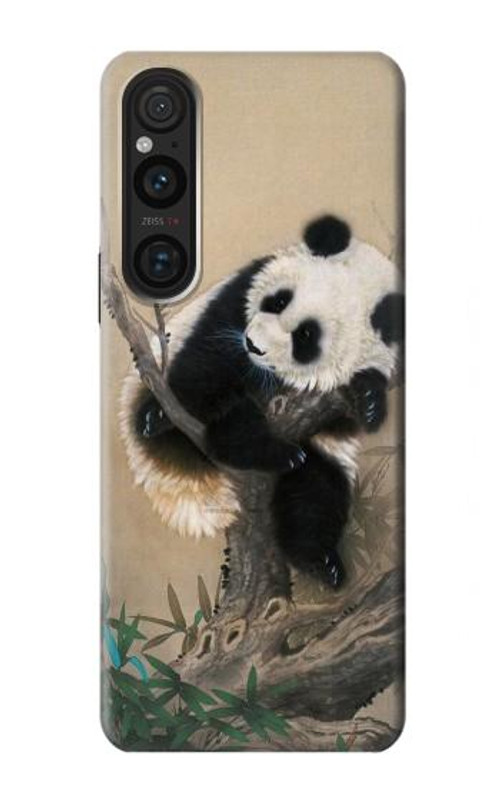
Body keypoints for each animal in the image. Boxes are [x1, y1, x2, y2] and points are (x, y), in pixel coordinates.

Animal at [120, 215, 403, 588]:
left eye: (306, 336)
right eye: (279, 301)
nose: (253, 345)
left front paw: (369, 400)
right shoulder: (238, 295)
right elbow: (210, 357)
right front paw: (162, 412)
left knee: (316, 490)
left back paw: (320, 561)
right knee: (233, 422)